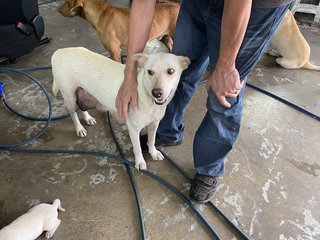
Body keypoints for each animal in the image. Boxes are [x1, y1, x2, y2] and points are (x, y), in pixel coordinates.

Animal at [51, 47, 189, 170]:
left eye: (171, 71)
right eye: (150, 72)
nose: (157, 93)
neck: (148, 100)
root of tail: (58, 51)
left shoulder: (154, 124)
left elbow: (152, 140)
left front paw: (153, 153)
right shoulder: (133, 129)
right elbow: (138, 148)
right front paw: (140, 162)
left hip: (82, 92)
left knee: (82, 107)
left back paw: (88, 118)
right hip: (69, 97)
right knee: (73, 113)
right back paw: (79, 128)